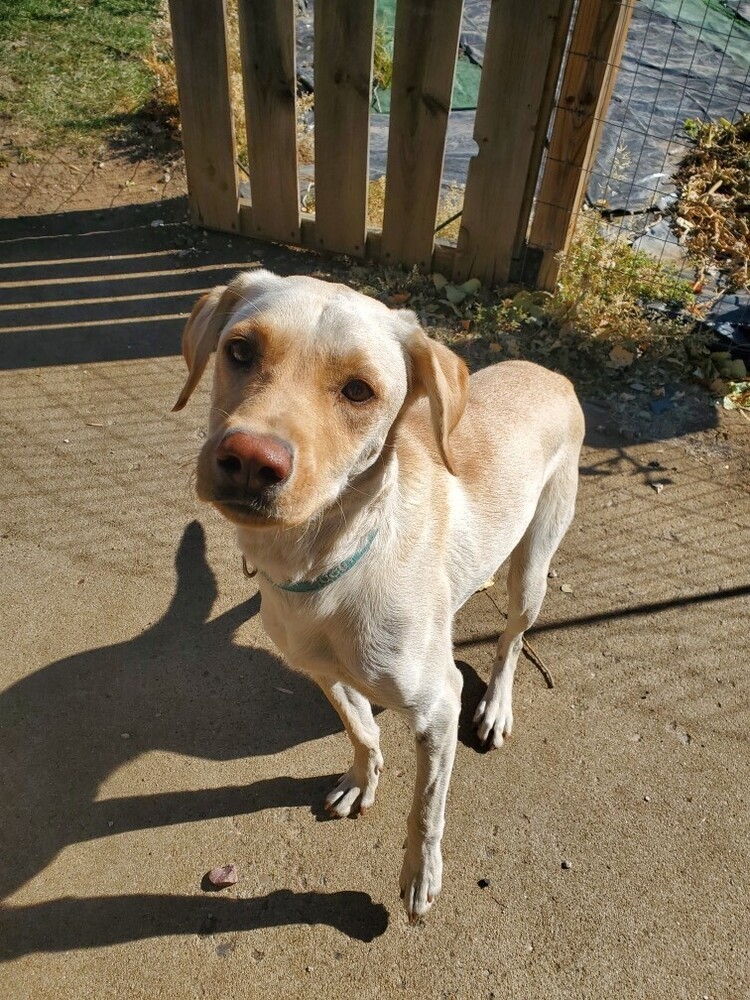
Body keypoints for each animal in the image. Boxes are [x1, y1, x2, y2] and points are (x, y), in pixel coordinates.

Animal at [173, 268, 584, 920]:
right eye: (239, 350)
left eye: (359, 391)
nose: (250, 460)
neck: (325, 568)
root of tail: (553, 374)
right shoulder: (322, 671)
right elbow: (360, 727)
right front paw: (362, 779)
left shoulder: (439, 706)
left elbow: (427, 808)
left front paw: (421, 873)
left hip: (533, 569)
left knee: (512, 641)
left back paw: (497, 704)